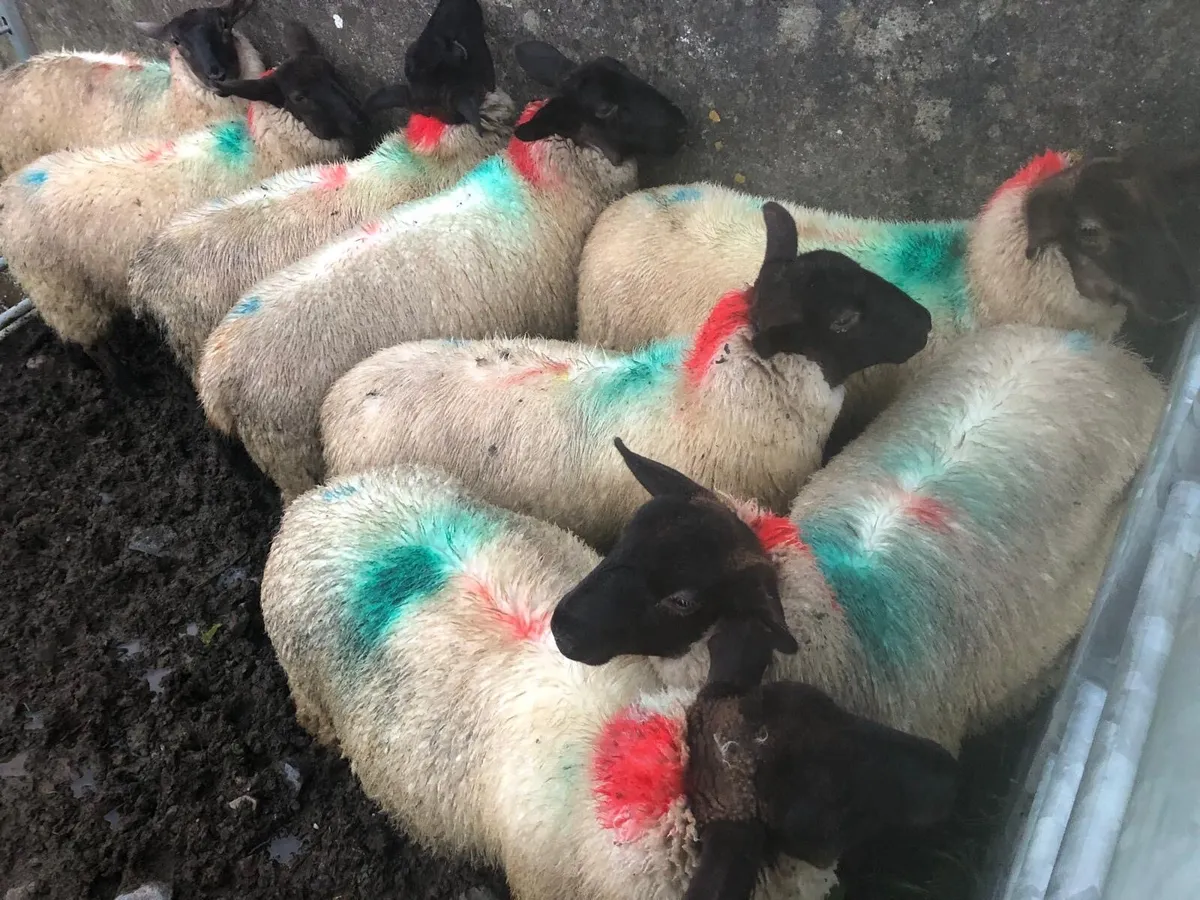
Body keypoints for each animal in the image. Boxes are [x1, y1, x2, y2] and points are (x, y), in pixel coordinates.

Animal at [0, 23, 362, 390]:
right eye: (299, 96)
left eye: (333, 72)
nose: (358, 118)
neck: (264, 148)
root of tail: (10, 191)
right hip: (60, 290)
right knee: (94, 341)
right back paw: (129, 384)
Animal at [196, 39, 688, 501]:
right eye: (605, 108)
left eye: (621, 69)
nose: (682, 125)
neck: (545, 189)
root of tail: (213, 376)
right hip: (290, 452)